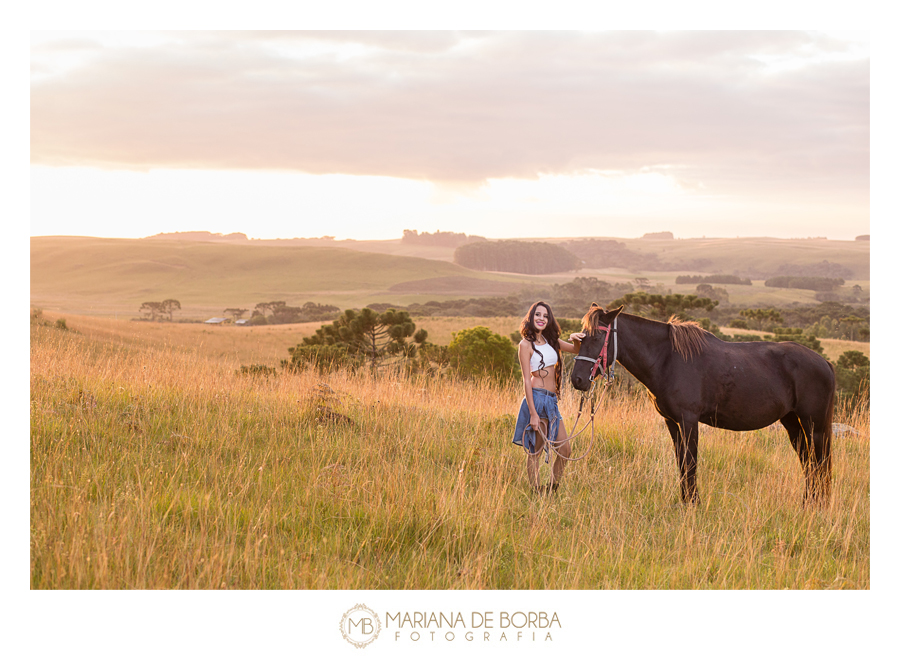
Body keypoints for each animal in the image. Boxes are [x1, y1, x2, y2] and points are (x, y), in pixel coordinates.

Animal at [568, 302, 836, 502]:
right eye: (581, 337)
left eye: (597, 337)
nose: (577, 379)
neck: (667, 359)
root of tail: (824, 362)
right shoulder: (672, 422)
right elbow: (681, 463)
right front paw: (685, 501)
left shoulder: (688, 421)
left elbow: (690, 462)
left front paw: (693, 504)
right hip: (793, 423)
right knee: (809, 462)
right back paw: (808, 503)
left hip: (815, 426)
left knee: (819, 463)